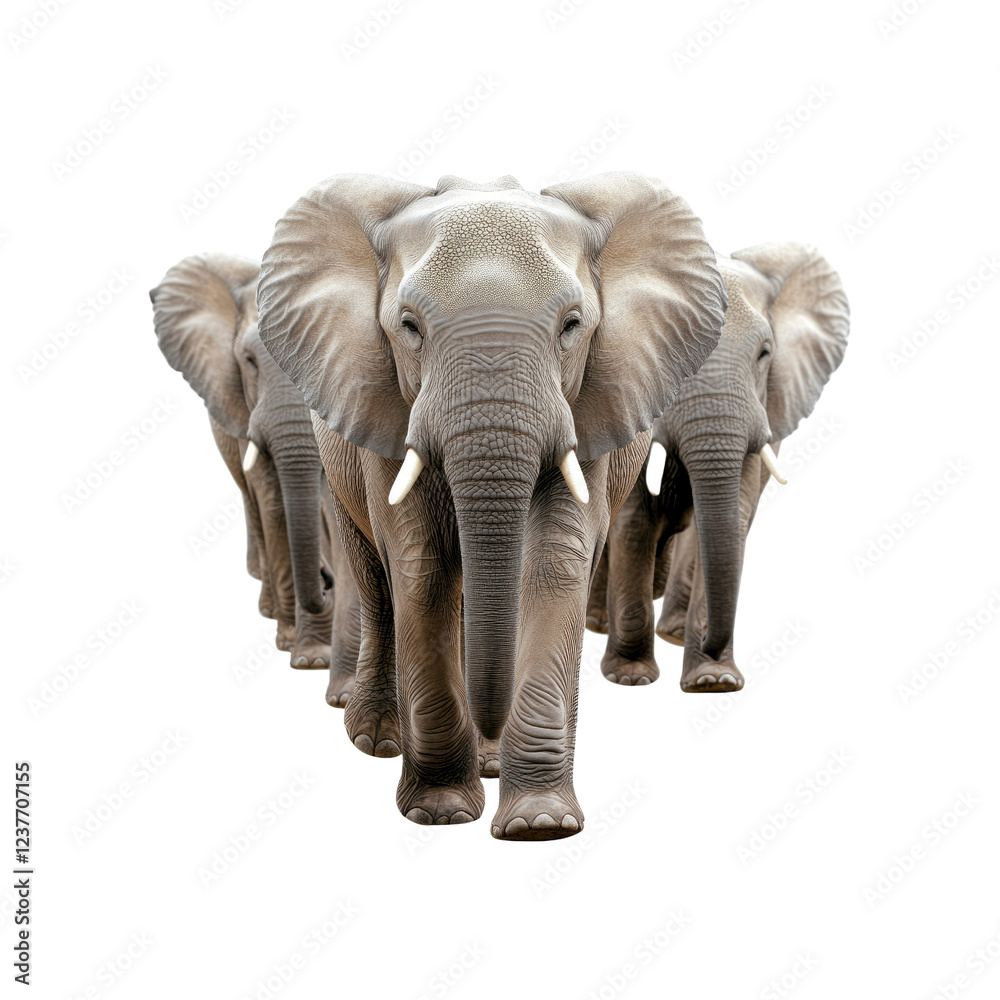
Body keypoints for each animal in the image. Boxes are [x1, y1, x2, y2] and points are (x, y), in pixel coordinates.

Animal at [255, 172, 727, 839]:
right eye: (409, 326)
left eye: (572, 324)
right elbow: (422, 565)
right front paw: (441, 812)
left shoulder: (589, 404)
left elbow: (554, 562)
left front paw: (540, 823)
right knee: (379, 579)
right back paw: (381, 741)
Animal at [587, 243, 849, 692]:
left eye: (764, 353)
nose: (711, 642)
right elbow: (637, 516)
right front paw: (630, 678)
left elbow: (735, 514)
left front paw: (714, 681)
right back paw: (597, 623)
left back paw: (673, 632)